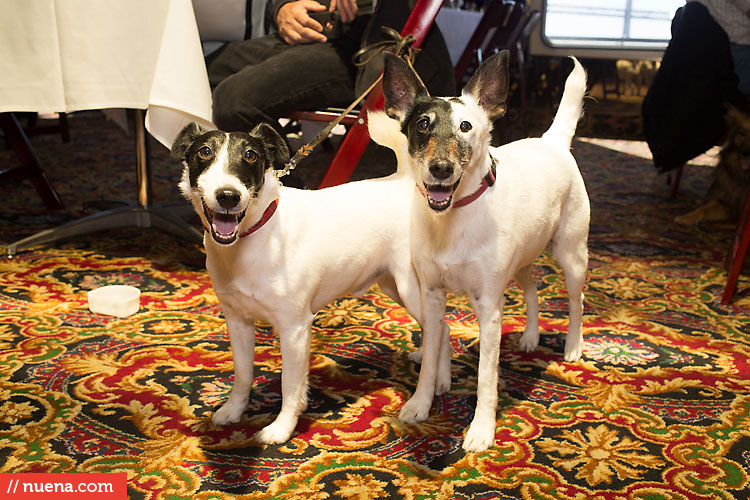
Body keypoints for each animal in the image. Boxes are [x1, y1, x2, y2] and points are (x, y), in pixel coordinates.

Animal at [372, 50, 592, 454]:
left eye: (465, 126)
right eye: (423, 125)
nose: (441, 169)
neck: (454, 217)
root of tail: (551, 141)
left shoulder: (489, 307)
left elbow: (486, 378)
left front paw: (482, 428)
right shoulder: (432, 296)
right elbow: (431, 354)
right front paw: (421, 403)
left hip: (572, 255)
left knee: (576, 301)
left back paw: (572, 346)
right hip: (521, 258)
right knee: (532, 289)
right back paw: (531, 336)